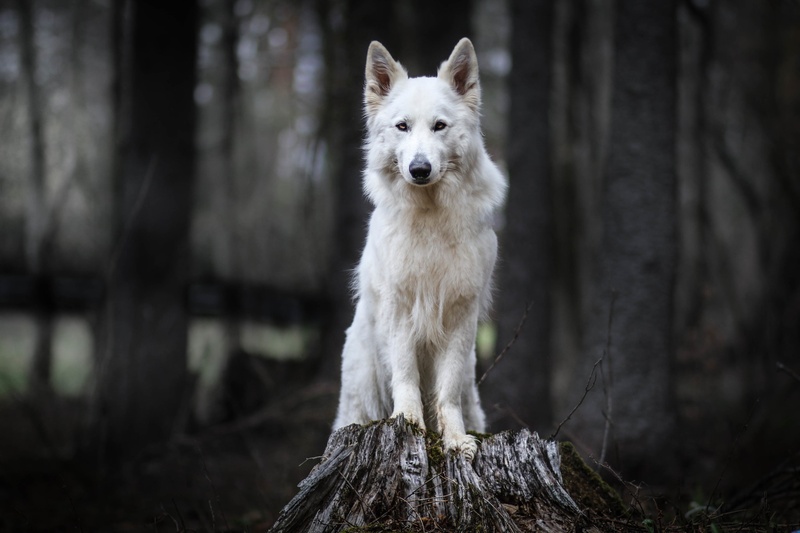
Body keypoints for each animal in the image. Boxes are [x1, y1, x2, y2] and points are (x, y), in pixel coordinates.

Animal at [333, 38, 507, 460]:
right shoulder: (400, 309)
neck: (430, 215)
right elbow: (407, 375)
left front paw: (455, 438)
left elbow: (446, 391)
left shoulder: (462, 314)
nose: (420, 169)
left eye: (439, 126)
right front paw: (408, 422)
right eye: (403, 127)